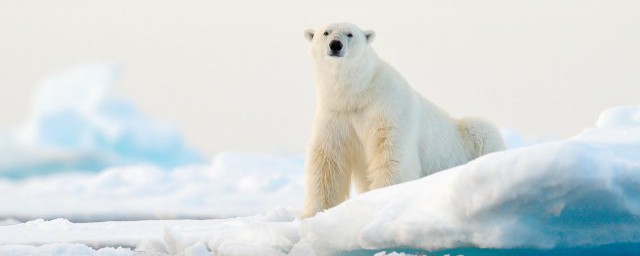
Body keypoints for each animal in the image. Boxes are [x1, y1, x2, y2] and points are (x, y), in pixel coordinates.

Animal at [300, 23, 504, 217]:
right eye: (326, 32)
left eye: (350, 34)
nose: (335, 45)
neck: (357, 94)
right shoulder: (335, 114)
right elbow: (327, 161)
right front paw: (311, 213)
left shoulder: (387, 106)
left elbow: (390, 152)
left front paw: (383, 196)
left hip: (470, 137)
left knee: (483, 131)